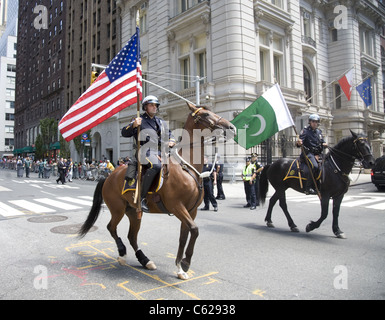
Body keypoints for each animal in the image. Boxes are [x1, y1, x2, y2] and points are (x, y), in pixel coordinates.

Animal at [77, 103, 234, 280]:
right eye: (206, 115)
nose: (231, 127)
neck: (186, 167)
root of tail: (109, 176)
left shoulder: (191, 211)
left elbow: (184, 236)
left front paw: (180, 268)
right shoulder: (177, 207)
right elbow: (194, 230)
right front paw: (186, 263)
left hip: (133, 212)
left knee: (132, 236)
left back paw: (145, 260)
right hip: (117, 209)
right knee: (112, 228)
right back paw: (122, 253)